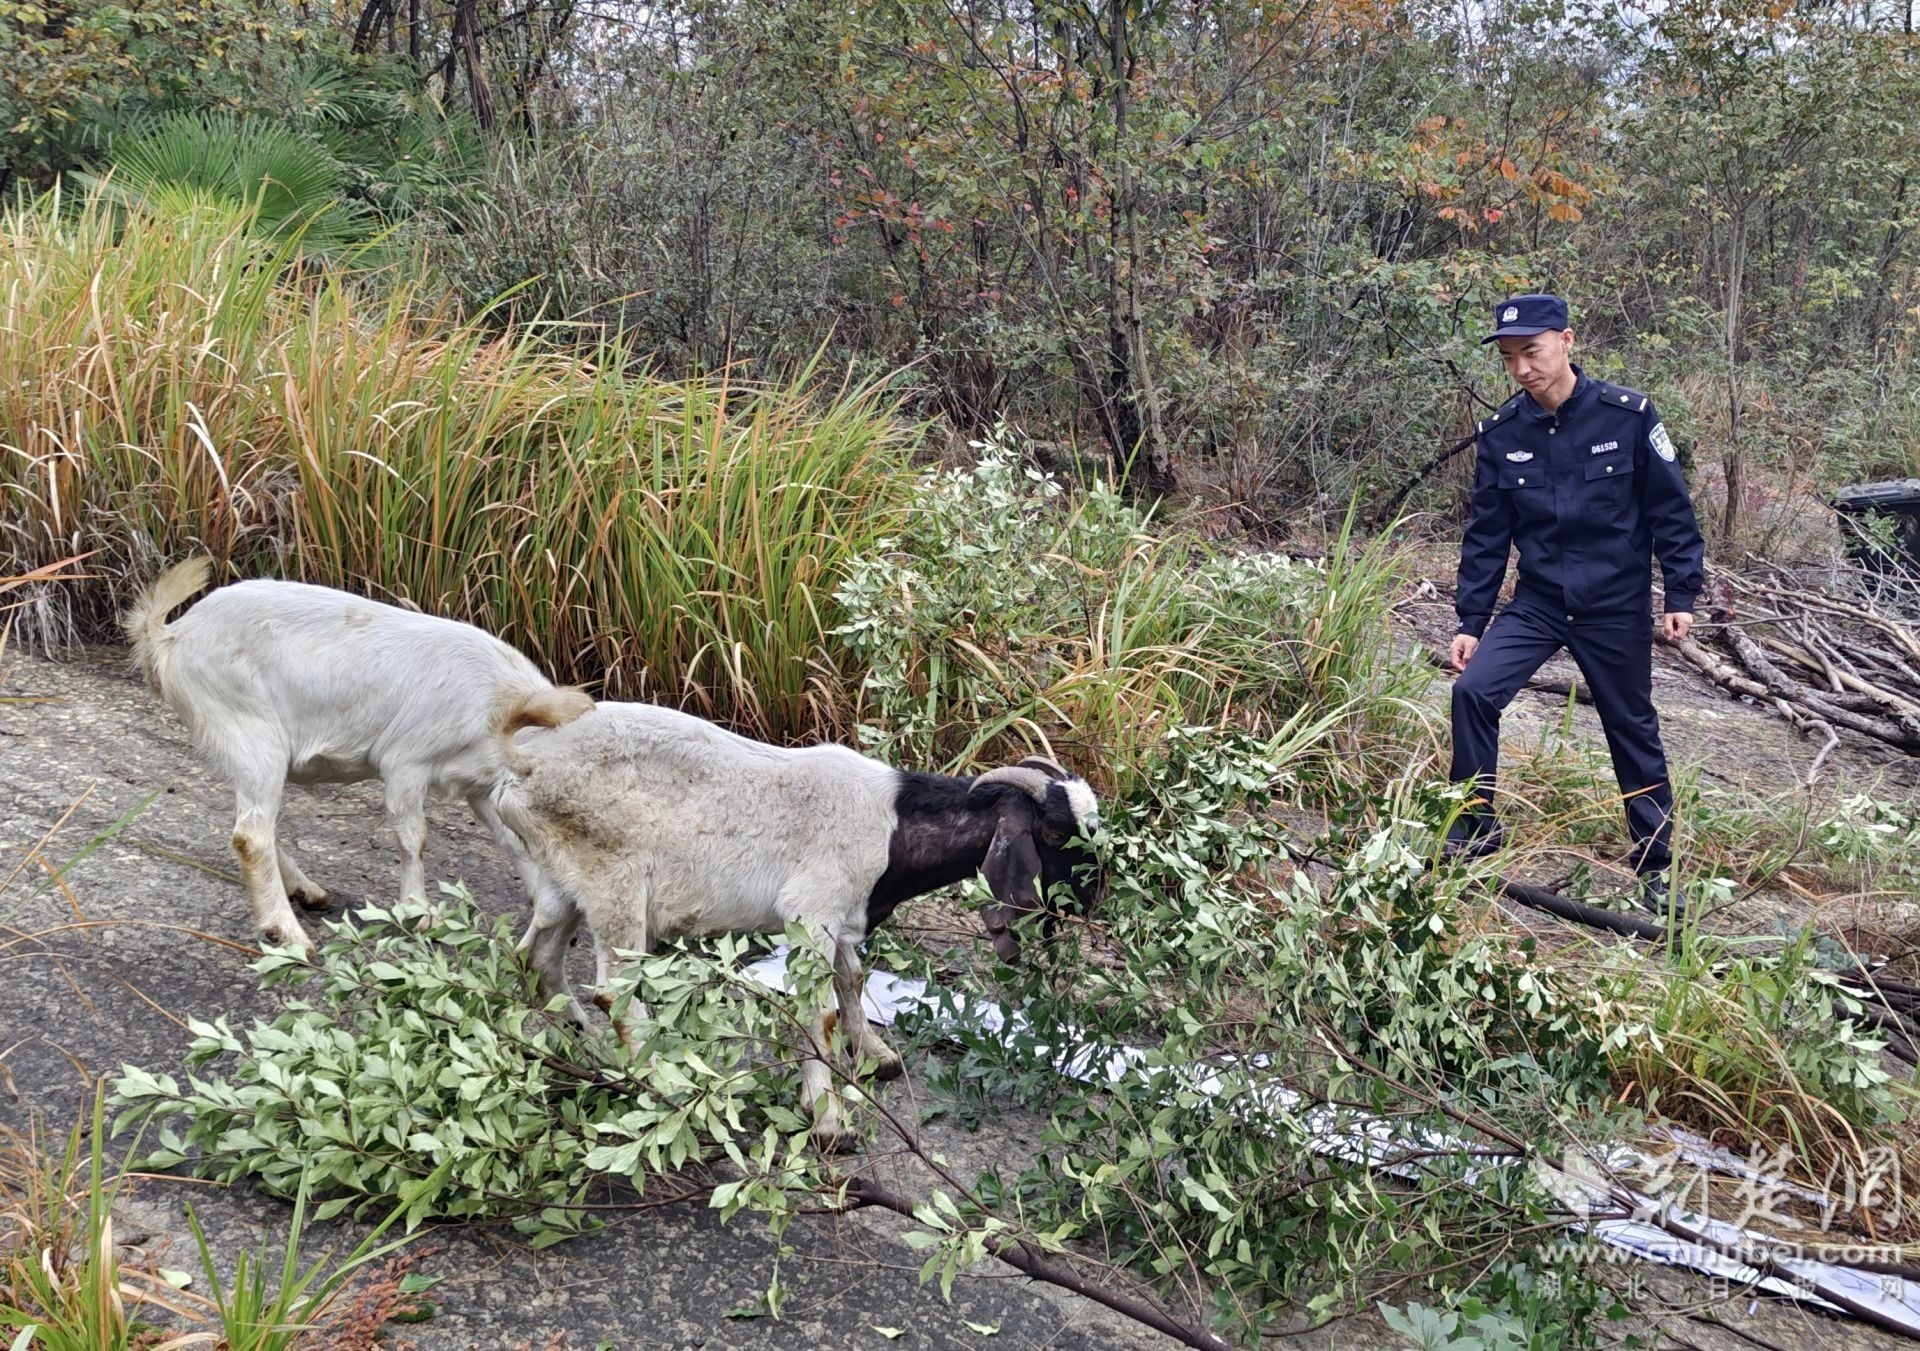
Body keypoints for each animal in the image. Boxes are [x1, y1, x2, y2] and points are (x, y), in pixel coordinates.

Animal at [127, 560, 591, 951]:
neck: (498, 707)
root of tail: (169, 636)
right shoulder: (406, 763)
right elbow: (414, 838)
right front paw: (421, 915)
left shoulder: (481, 787)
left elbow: (513, 842)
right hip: (252, 733)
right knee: (250, 834)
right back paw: (289, 934)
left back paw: (308, 892)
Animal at [487, 702, 1105, 1143]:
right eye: (1055, 833)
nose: (1091, 900)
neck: (895, 826)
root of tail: (525, 767)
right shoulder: (813, 909)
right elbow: (816, 1010)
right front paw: (829, 1120)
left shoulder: (840, 918)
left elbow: (851, 980)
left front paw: (876, 1056)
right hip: (615, 882)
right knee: (616, 990)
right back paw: (659, 1086)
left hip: (562, 881)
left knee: (535, 957)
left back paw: (580, 1049)